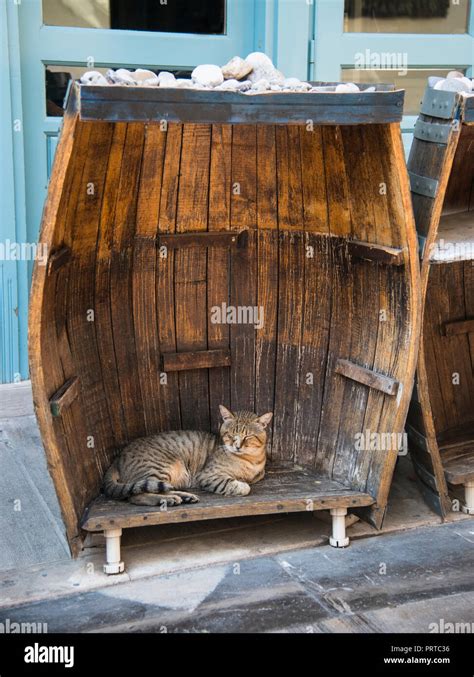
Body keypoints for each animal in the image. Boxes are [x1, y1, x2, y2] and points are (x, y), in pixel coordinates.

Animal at [103, 404, 274, 504]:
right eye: (231, 435)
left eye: (248, 437)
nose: (237, 446)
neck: (250, 458)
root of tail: (118, 457)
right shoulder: (208, 475)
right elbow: (241, 486)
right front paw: (240, 485)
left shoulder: (259, 473)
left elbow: (257, 476)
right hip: (160, 467)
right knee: (138, 494)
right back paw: (169, 499)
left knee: (158, 488)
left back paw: (185, 496)